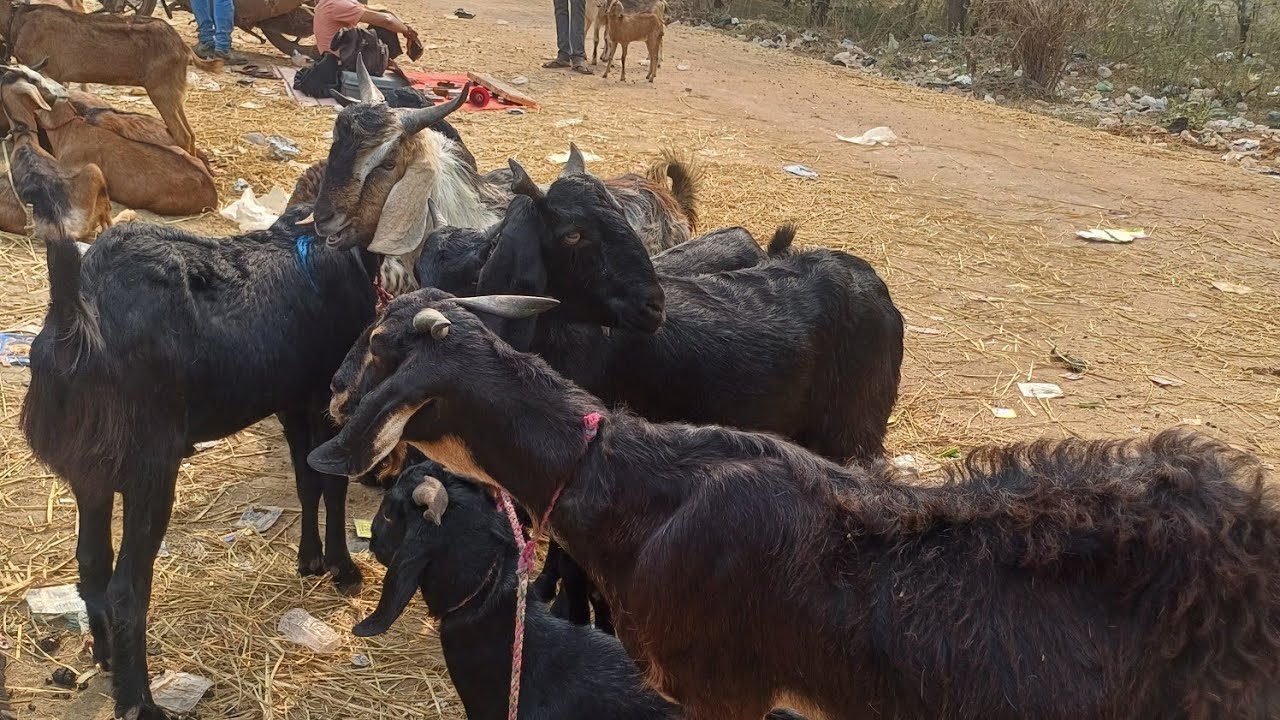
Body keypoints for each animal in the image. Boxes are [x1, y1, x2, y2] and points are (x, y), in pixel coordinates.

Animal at [0, 4, 222, 154]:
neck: (17, 20)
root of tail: (183, 47)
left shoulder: (49, 72)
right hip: (174, 91)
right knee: (190, 134)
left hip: (162, 91)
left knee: (182, 134)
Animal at [20, 188, 380, 718]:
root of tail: (76, 321)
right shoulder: (325, 397)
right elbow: (331, 485)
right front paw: (343, 568)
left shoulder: (292, 403)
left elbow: (306, 481)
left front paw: (310, 560)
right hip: (149, 469)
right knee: (127, 589)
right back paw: (140, 700)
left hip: (92, 471)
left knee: (92, 562)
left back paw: (106, 658)